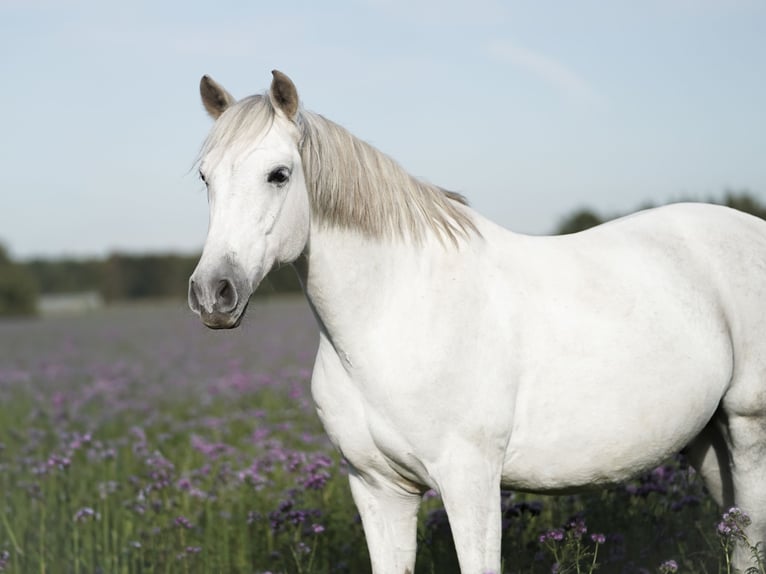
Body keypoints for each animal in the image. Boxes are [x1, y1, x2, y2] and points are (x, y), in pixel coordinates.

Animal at [188, 70, 766, 573]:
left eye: (279, 175)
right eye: (205, 177)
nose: (213, 293)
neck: (391, 318)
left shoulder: (470, 481)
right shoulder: (377, 487)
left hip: (746, 428)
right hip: (706, 441)